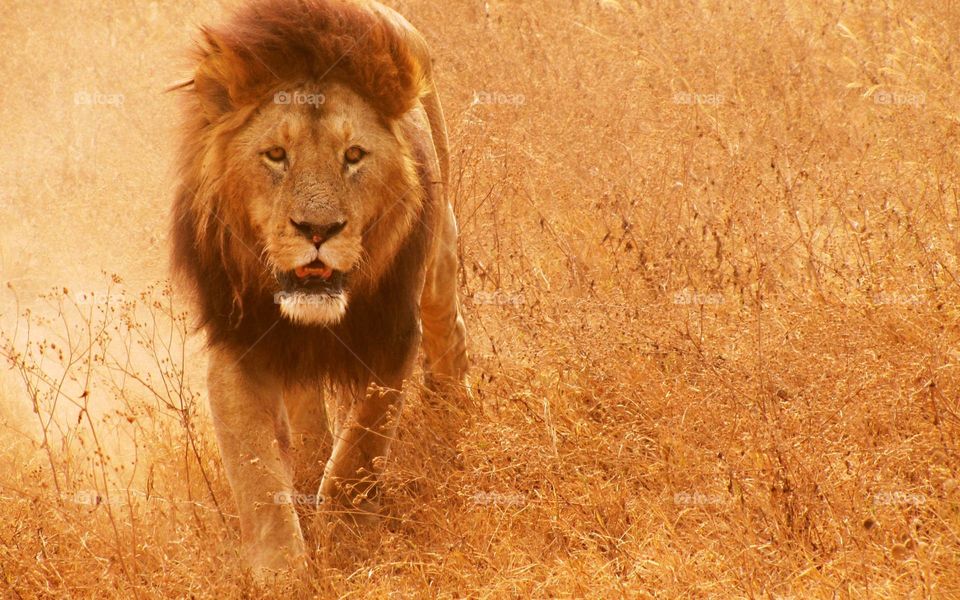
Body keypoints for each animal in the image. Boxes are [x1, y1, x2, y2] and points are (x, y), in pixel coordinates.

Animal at [170, 0, 470, 574]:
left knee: (449, 325)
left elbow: (359, 449)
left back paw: (455, 412)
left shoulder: (393, 335)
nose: (317, 229)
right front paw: (282, 573)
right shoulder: (238, 344)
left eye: (353, 155)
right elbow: (257, 474)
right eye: (275, 155)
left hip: (441, 249)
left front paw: (350, 541)